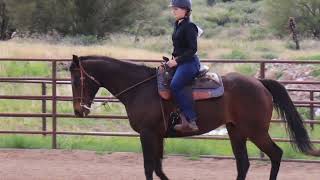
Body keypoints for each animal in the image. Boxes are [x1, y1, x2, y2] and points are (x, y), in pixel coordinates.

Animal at [69, 55, 318, 180]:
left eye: (76, 79)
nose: (79, 111)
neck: (140, 88)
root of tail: (259, 83)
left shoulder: (147, 134)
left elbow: (149, 168)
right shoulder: (157, 136)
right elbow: (158, 168)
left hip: (256, 131)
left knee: (275, 154)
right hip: (235, 130)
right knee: (243, 163)